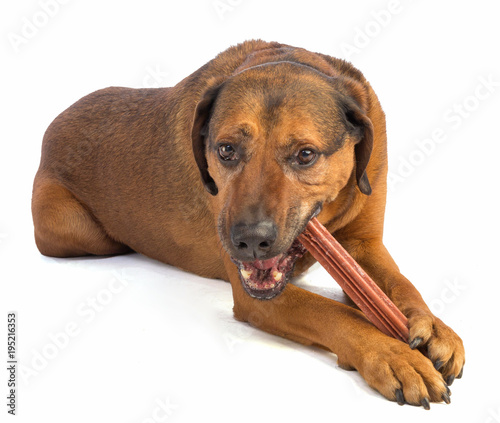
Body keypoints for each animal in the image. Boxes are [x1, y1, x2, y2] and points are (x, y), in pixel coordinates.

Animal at [32, 41, 464, 410]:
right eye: (226, 150)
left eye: (305, 155)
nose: (251, 242)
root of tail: (52, 124)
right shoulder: (257, 296)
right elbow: (336, 313)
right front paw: (392, 353)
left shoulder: (361, 244)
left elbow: (400, 283)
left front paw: (433, 325)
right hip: (72, 227)